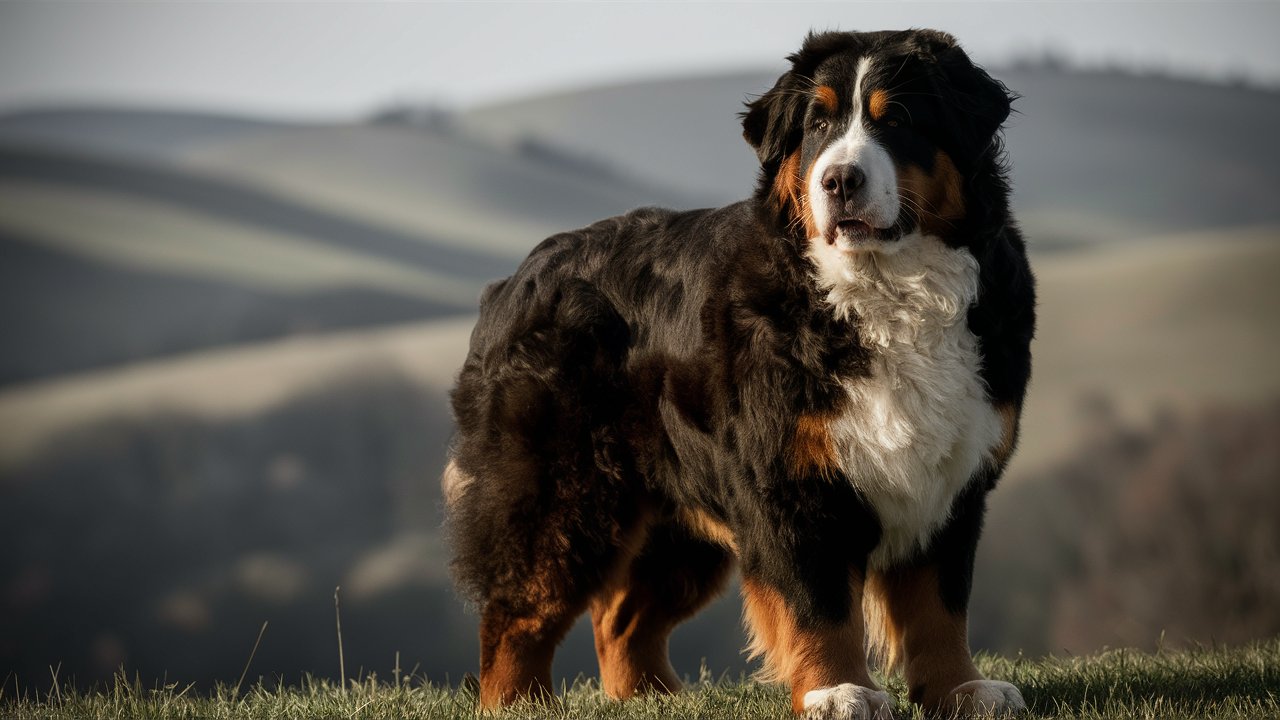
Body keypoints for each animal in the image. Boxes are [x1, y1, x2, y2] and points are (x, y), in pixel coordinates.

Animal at [445, 29, 1034, 717]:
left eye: (900, 120)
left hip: (675, 522)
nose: (839, 179)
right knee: (519, 613)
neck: (884, 293)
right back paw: (519, 703)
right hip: (559, 493)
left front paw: (961, 689)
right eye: (816, 124)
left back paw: (654, 698)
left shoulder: (953, 478)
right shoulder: (790, 479)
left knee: (620, 621)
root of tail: (515, 279)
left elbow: (940, 606)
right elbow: (818, 604)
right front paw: (837, 690)